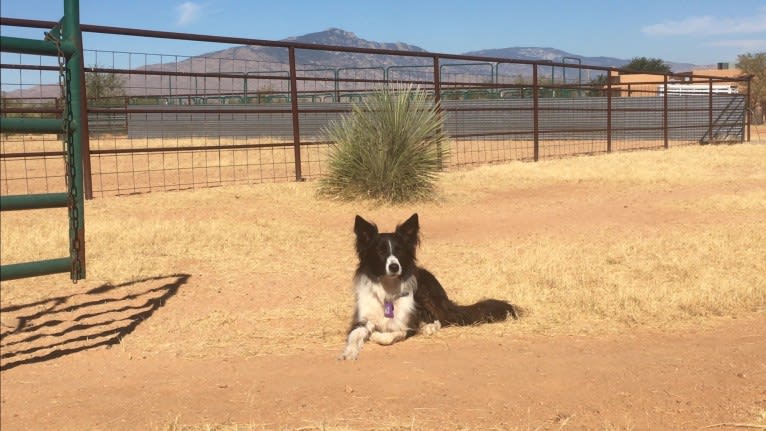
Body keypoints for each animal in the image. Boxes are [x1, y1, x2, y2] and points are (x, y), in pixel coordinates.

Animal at [342, 213, 520, 362]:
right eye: (380, 252)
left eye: (399, 251)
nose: (394, 267)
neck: (388, 289)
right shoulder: (362, 320)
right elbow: (354, 335)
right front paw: (349, 352)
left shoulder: (408, 324)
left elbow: (389, 336)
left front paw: (376, 335)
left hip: (426, 294)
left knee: (441, 319)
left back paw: (429, 327)